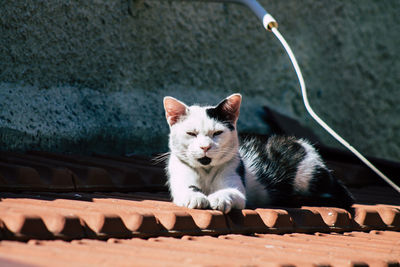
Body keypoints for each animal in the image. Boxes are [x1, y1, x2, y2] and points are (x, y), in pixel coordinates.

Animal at [162, 94, 354, 214]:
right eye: (191, 133)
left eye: (217, 133)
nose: (205, 147)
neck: (206, 171)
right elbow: (186, 190)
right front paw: (195, 197)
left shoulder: (236, 182)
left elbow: (230, 192)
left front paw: (219, 198)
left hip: (306, 175)